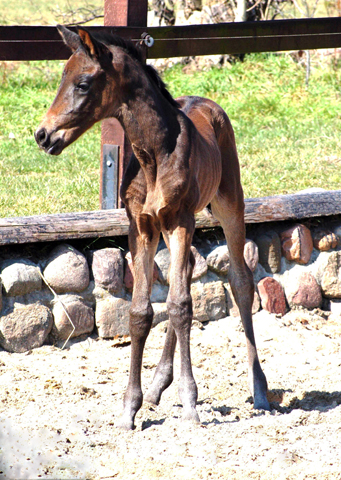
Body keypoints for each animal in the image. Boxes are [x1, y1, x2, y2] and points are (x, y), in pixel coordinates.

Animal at [34, 26, 268, 432]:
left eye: (82, 84)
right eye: (61, 78)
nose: (43, 135)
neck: (154, 155)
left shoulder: (178, 220)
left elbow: (180, 305)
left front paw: (189, 403)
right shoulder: (141, 227)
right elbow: (143, 311)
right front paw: (131, 406)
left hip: (228, 204)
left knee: (239, 282)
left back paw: (260, 390)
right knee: (184, 276)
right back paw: (160, 384)